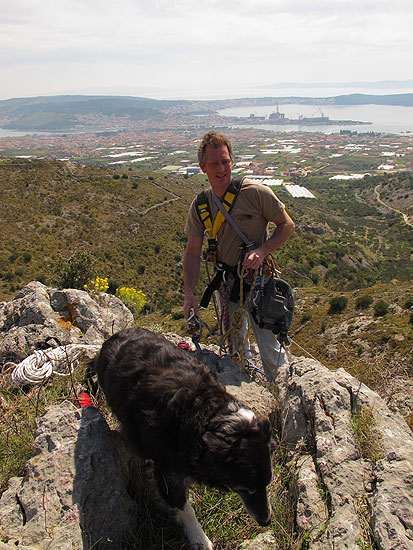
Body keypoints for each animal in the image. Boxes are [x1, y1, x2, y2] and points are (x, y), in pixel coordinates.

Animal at [93, 330, 274, 548]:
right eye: (245, 489)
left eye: (267, 484)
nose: (266, 522)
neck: (206, 415)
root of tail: (119, 334)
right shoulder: (166, 472)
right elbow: (185, 509)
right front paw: (199, 539)